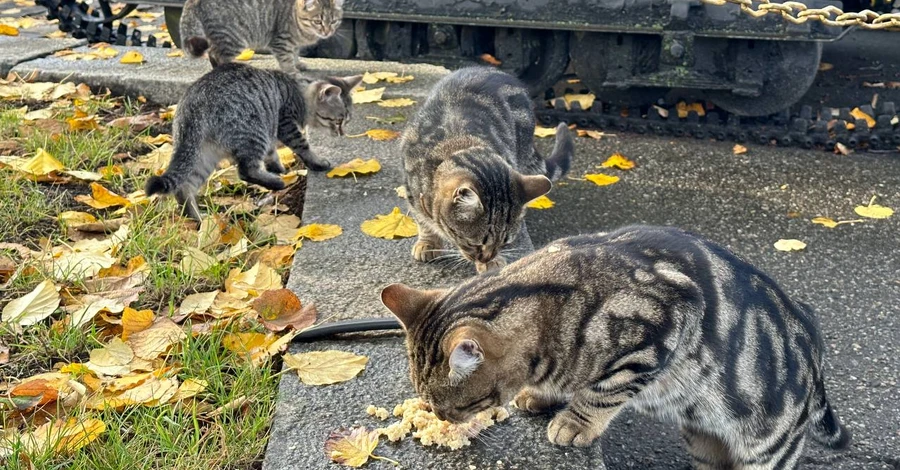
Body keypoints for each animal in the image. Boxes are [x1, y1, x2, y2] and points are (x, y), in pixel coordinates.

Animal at [144, 62, 362, 220]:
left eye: (347, 120)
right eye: (338, 120)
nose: (342, 133)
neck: (298, 90)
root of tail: (190, 105)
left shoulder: (271, 134)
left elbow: (272, 154)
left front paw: (278, 167)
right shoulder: (285, 123)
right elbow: (303, 146)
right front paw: (316, 162)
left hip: (204, 155)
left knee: (184, 187)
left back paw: (197, 220)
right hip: (253, 134)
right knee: (245, 171)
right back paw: (276, 183)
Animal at [180, 0, 344, 72]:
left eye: (333, 21)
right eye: (318, 21)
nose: (327, 31)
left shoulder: (293, 44)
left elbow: (295, 53)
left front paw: (298, 63)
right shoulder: (281, 41)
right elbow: (286, 59)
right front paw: (292, 70)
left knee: (212, 54)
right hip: (234, 38)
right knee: (218, 55)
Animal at [382, 226, 852, 468]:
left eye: (452, 406)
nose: (441, 417)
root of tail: (815, 350)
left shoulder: (661, 324)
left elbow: (600, 392)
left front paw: (574, 422)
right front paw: (540, 394)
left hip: (766, 450)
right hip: (703, 438)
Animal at [402, 65, 576, 272]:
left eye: (504, 242)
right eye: (473, 243)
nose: (486, 258)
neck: (457, 143)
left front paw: (493, 263)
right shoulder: (410, 188)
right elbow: (422, 220)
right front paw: (428, 242)